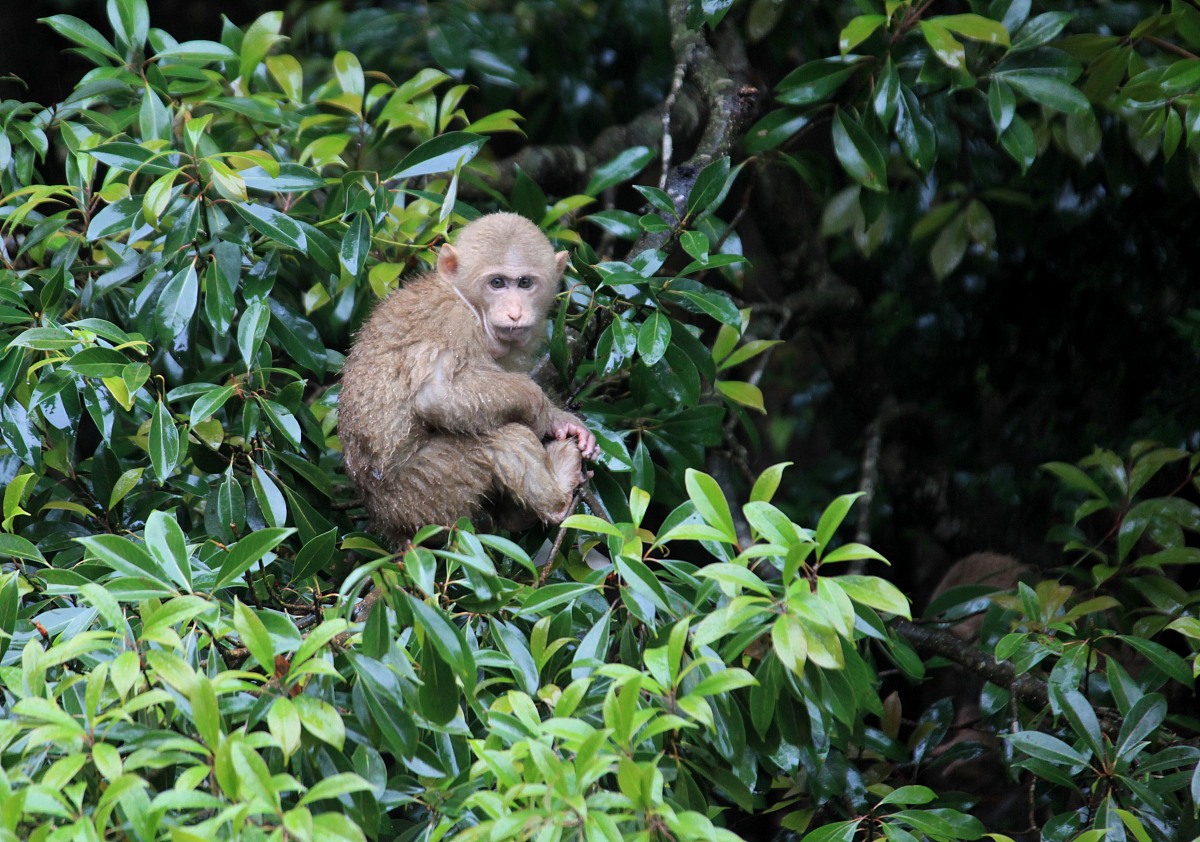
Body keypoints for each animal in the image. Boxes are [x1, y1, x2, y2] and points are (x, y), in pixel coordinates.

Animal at [338, 212, 600, 546]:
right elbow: (436, 396)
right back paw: (556, 499)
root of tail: (387, 521)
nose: (515, 312)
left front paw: (562, 420)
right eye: (497, 283)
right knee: (498, 437)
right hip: (424, 491)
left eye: (525, 283)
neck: (468, 303)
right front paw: (541, 409)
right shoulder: (454, 321)